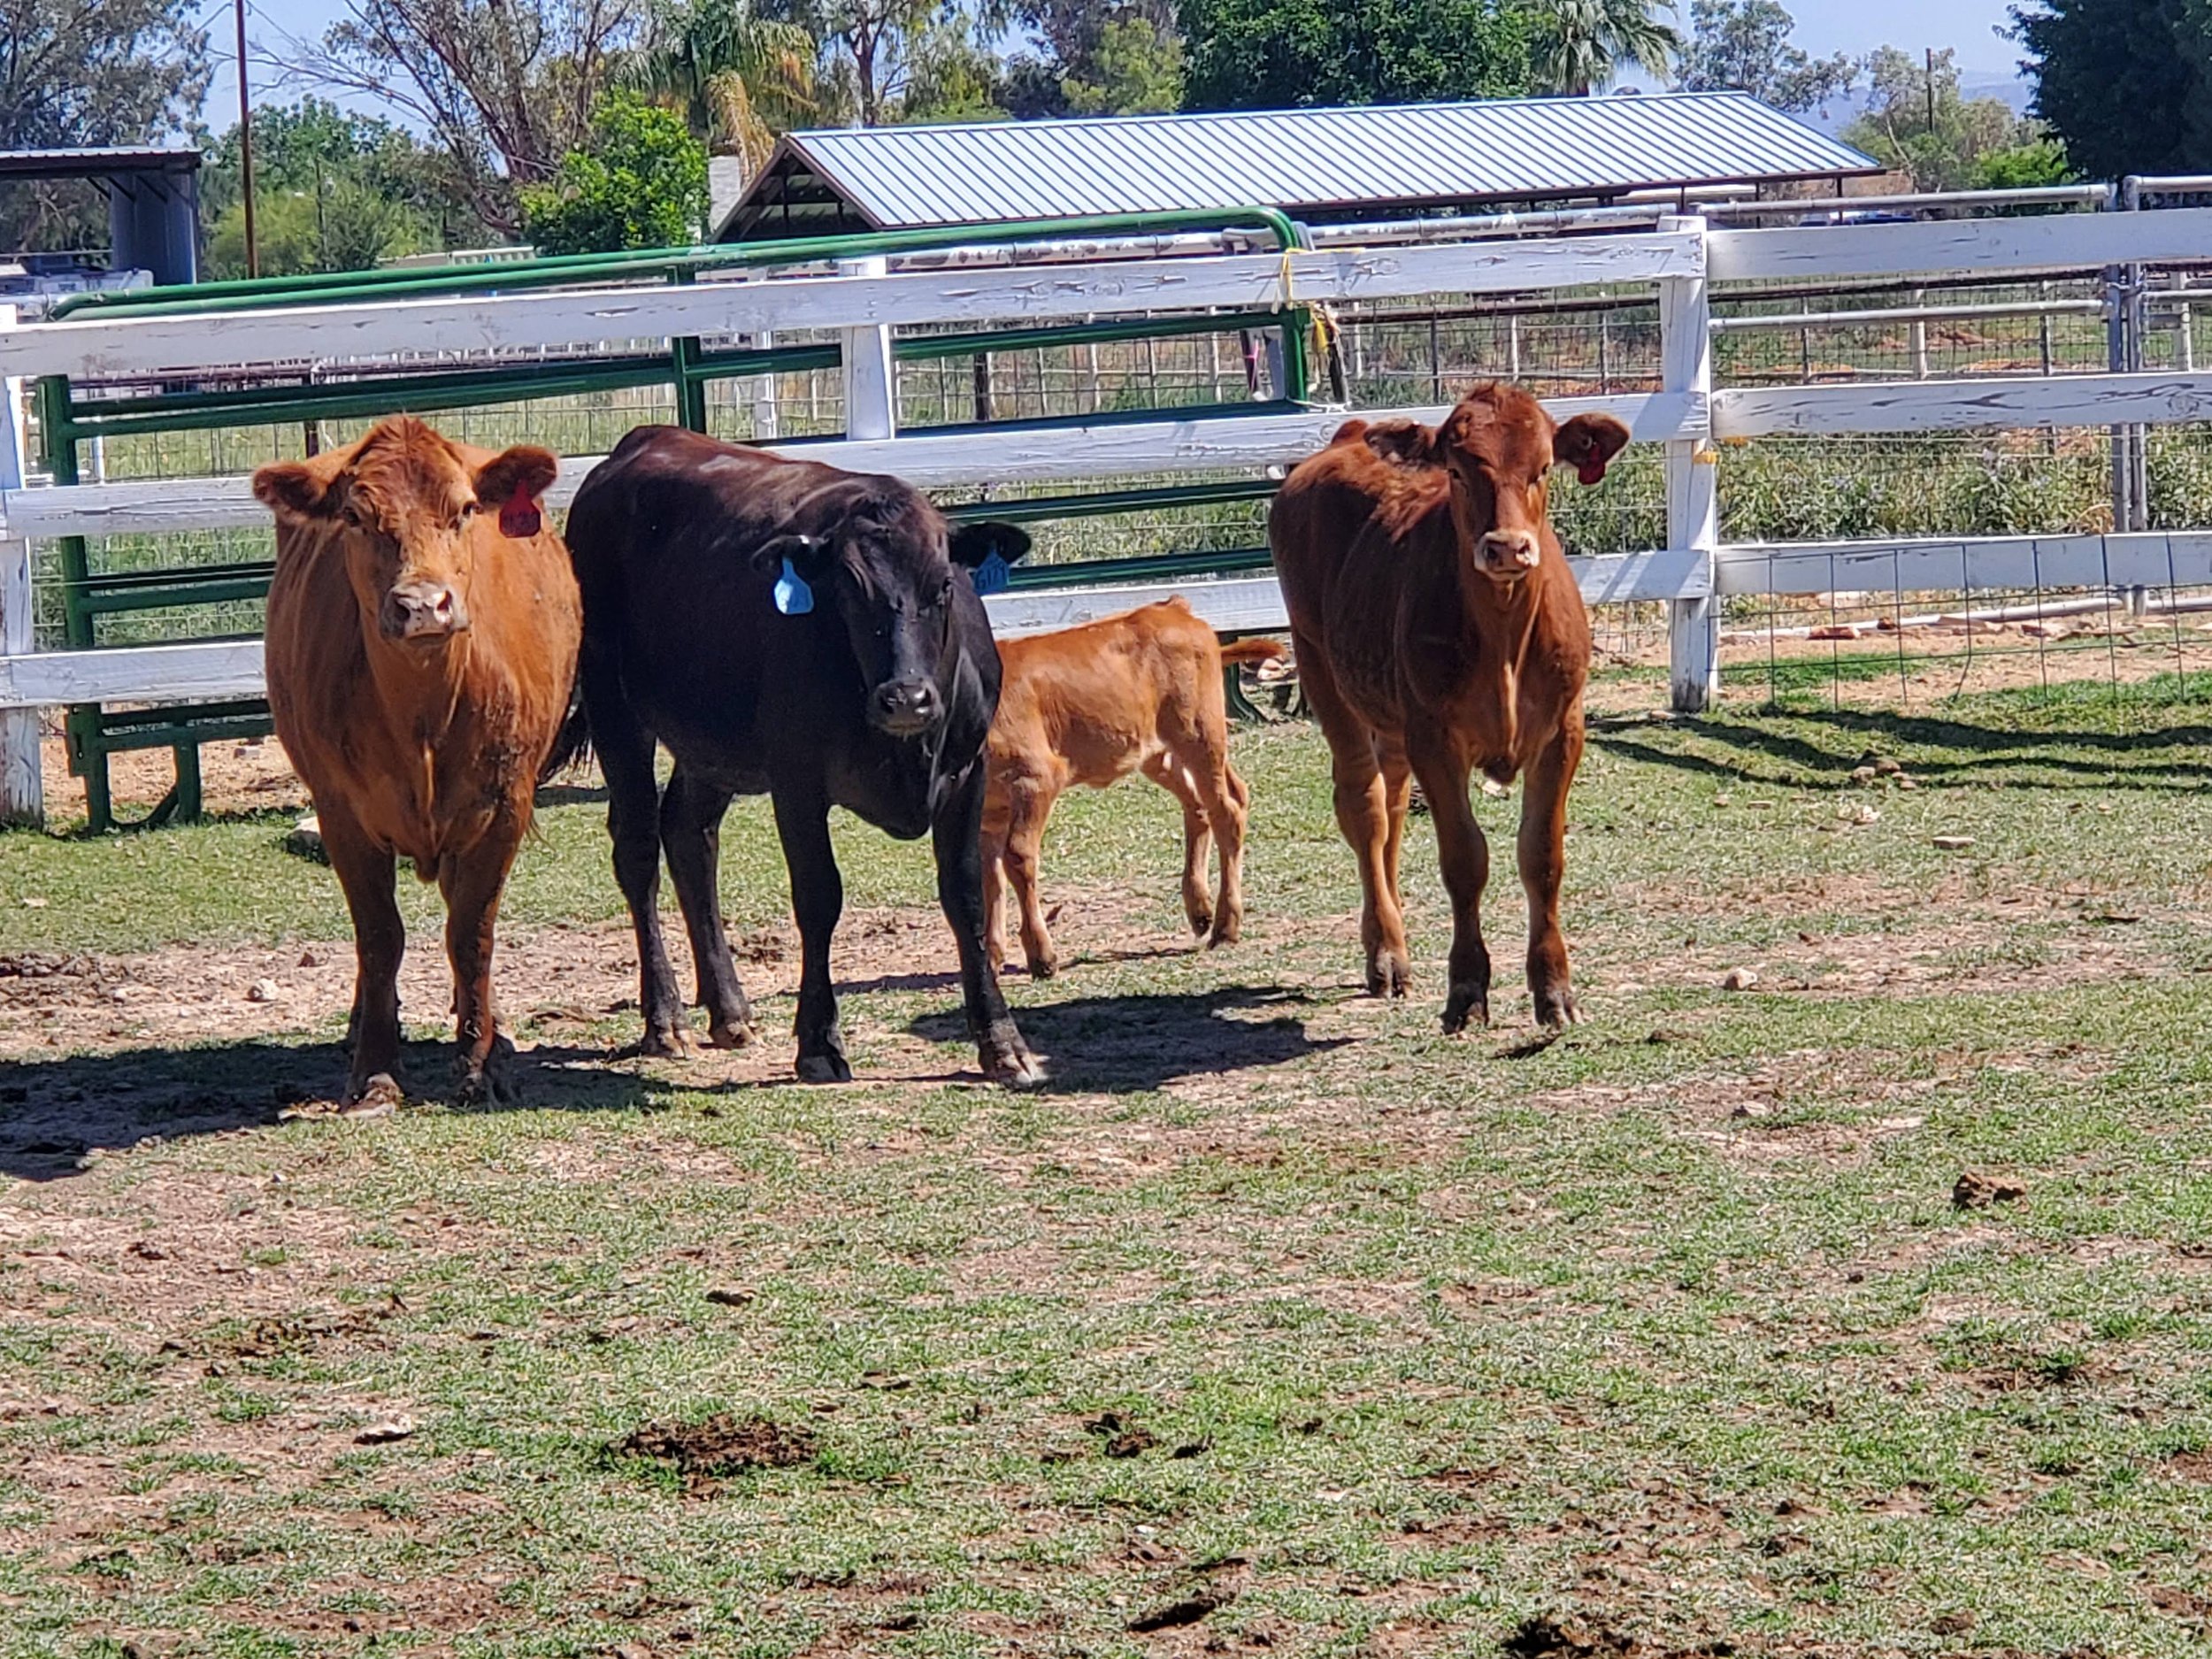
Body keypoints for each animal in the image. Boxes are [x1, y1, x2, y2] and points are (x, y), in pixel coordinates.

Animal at [253, 415, 581, 1108]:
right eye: (354, 516)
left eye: (465, 510)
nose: (425, 604)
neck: (423, 715)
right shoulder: (340, 814)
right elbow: (380, 937)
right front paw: (376, 1069)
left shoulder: (504, 806)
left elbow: (471, 932)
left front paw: (481, 1062)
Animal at [558, 426, 1042, 1086]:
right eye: (850, 589)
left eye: (944, 586)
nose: (906, 697)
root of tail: (641, 441)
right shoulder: (797, 781)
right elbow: (819, 898)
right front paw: (818, 1041)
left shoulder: (968, 770)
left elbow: (964, 893)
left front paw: (1001, 1041)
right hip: (615, 706)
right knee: (637, 849)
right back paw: (666, 1018)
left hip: (713, 748)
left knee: (688, 835)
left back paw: (730, 1010)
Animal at [982, 598, 1285, 978]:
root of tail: (1172, 608)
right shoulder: (987, 808)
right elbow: (989, 876)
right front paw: (990, 957)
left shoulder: (1036, 778)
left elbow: (1017, 858)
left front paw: (1041, 955)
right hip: (1159, 753)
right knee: (1205, 803)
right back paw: (1200, 910)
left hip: (1200, 734)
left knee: (1226, 809)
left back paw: (1225, 926)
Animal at [1267, 382, 1630, 1033]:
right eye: (1457, 471)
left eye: (1543, 467)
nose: (1507, 547)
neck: (1505, 636)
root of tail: (1348, 436)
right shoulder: (1435, 737)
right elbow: (1464, 858)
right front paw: (1466, 987)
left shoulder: (1562, 731)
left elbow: (1542, 856)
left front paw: (1555, 989)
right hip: (1320, 667)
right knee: (1363, 807)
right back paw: (1385, 951)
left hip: (1391, 717)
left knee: (1390, 806)